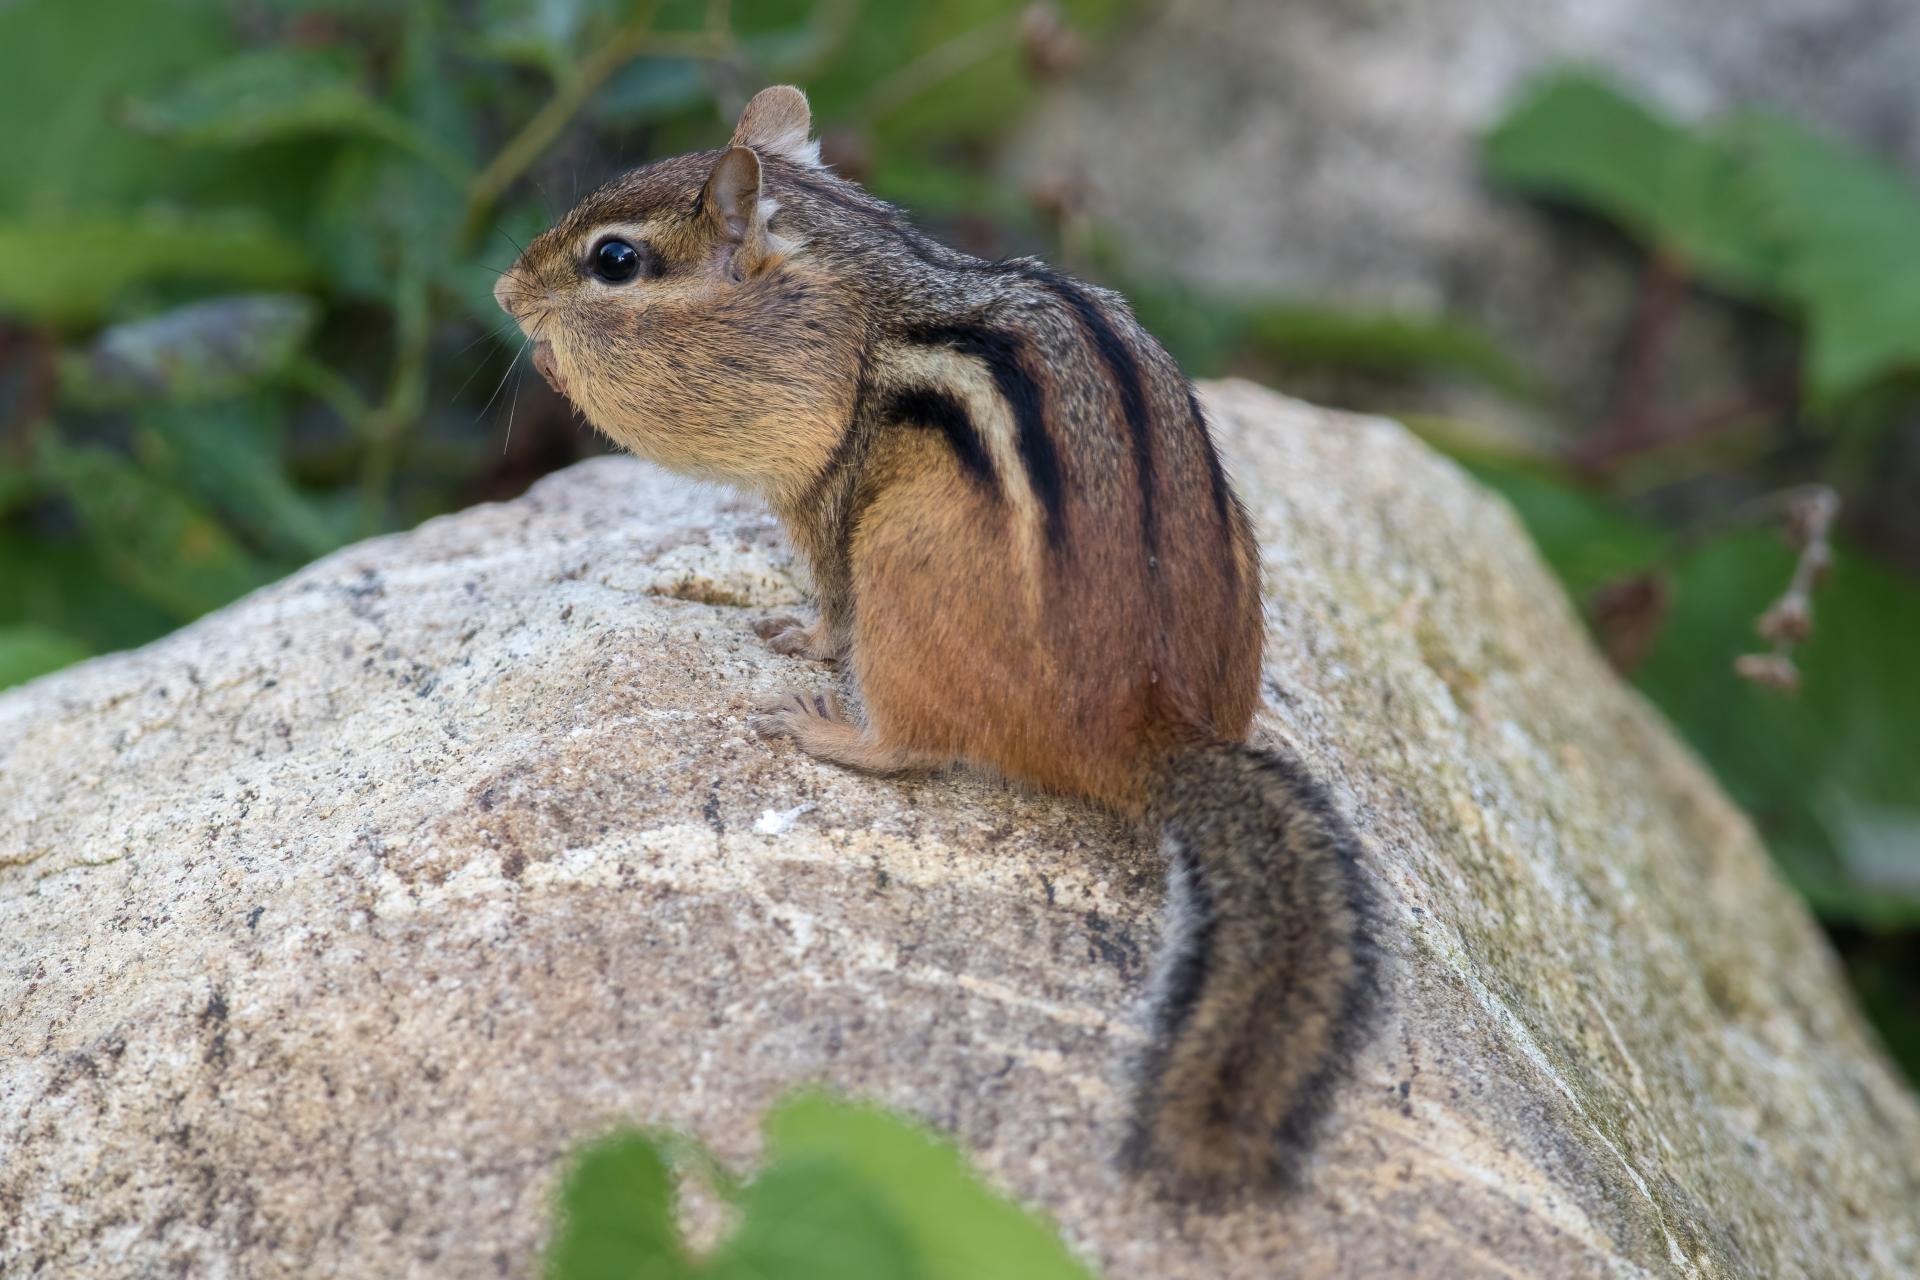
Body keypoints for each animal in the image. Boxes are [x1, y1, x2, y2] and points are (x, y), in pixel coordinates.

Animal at [495, 85, 1377, 1196]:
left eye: (614, 261)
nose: (504, 290)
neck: (857, 301)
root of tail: (1149, 733)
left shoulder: (828, 493)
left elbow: (827, 604)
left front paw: (795, 637)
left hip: (901, 568)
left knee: (915, 744)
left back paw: (822, 729)